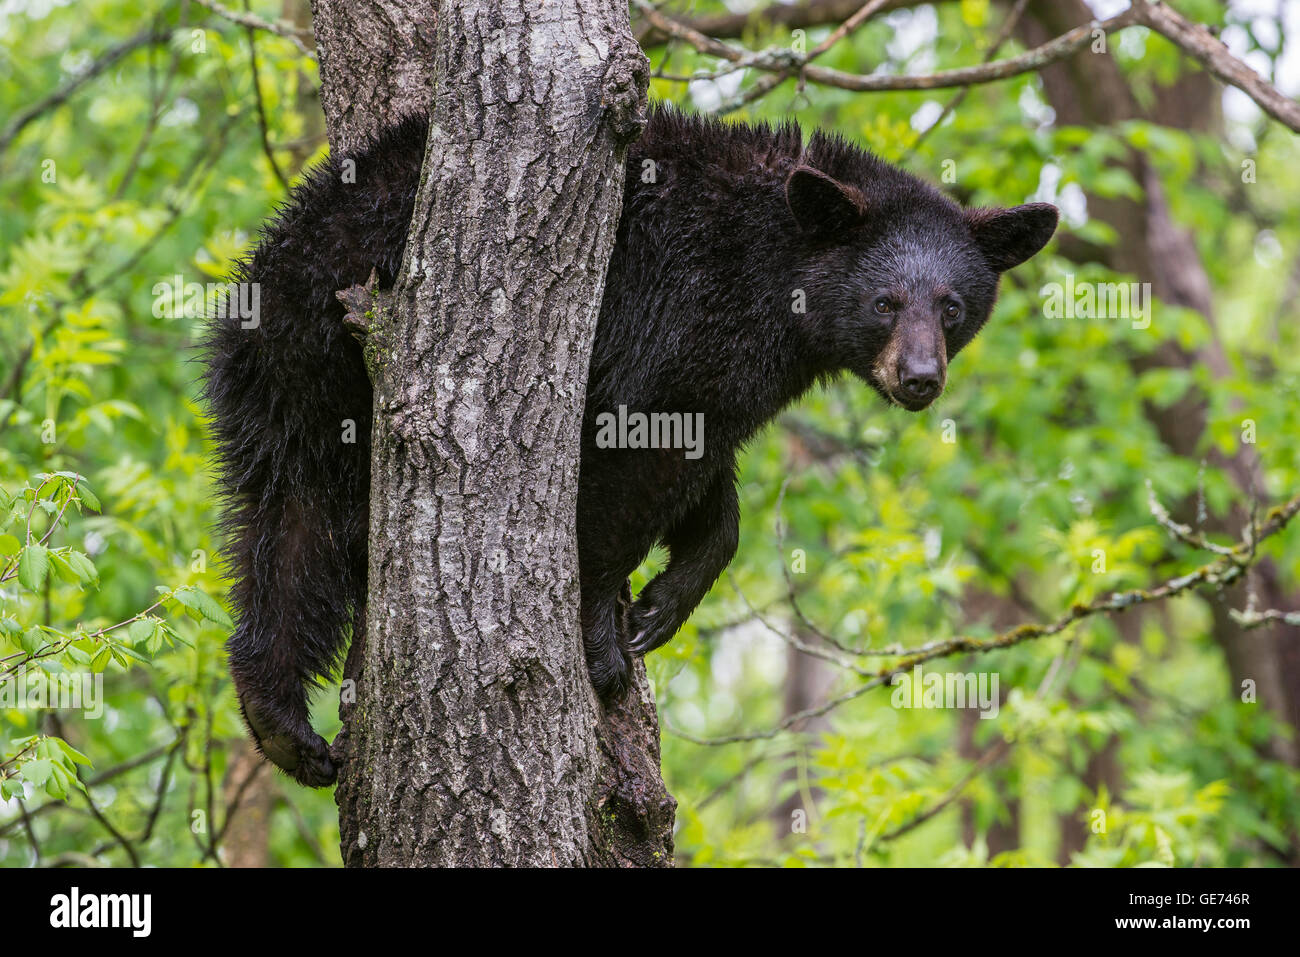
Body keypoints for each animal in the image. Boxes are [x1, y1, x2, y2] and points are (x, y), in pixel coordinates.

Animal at [202, 104, 1055, 785]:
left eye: (952, 305)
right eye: (885, 302)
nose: (920, 379)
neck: (776, 274)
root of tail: (272, 269)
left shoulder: (722, 374)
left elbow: (706, 473)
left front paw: (663, 601)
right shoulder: (678, 319)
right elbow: (627, 474)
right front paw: (605, 639)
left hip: (285, 399)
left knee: (289, 531)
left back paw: (280, 721)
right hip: (339, 339)